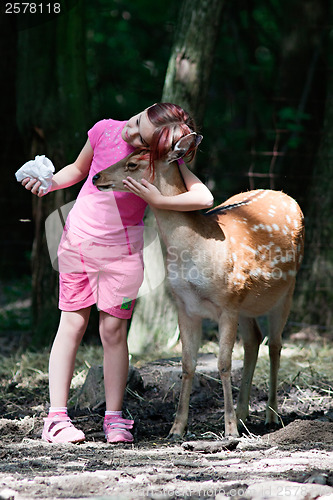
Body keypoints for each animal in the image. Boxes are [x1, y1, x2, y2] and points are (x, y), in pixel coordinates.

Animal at [91, 133, 304, 438]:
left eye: (132, 163)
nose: (97, 176)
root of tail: (285, 194)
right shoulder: (186, 306)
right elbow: (188, 364)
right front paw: (176, 428)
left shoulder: (228, 303)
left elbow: (223, 364)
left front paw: (229, 430)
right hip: (247, 303)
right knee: (254, 340)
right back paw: (243, 413)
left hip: (285, 291)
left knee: (275, 344)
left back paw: (270, 416)